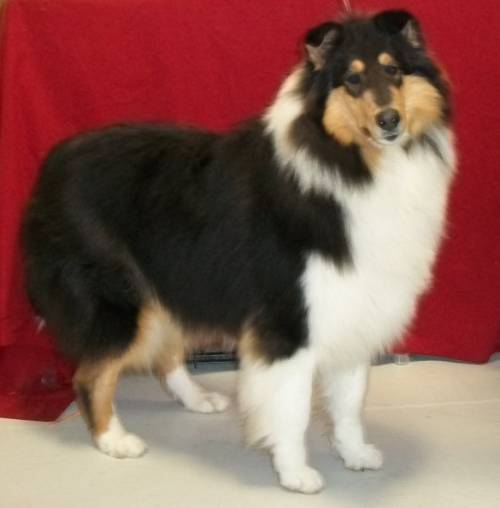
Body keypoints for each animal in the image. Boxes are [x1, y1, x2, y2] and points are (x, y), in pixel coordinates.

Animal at [21, 10, 455, 493]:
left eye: (393, 70)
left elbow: (350, 400)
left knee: (164, 353)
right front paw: (296, 475)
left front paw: (355, 454)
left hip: (169, 282)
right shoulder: (290, 322)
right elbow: (292, 408)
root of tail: (54, 162)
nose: (389, 120)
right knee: (90, 375)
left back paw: (197, 399)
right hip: (122, 300)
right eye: (352, 80)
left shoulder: (351, 307)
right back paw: (114, 440)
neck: (350, 163)